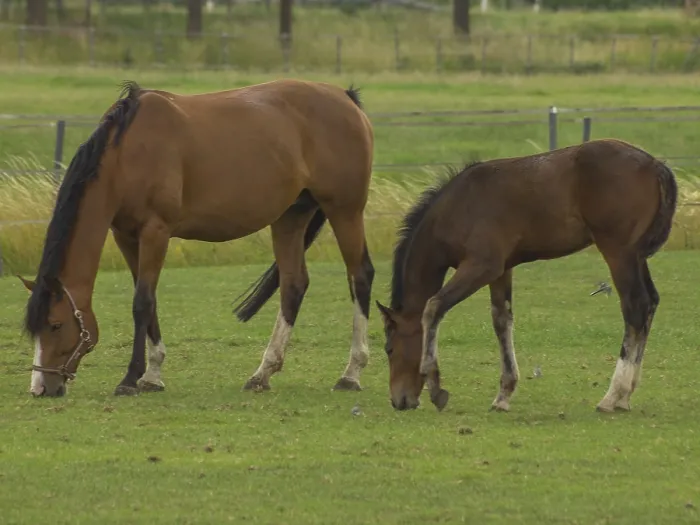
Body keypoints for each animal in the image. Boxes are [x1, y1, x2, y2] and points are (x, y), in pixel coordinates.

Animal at [20, 79, 376, 398]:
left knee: (360, 275)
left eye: (55, 325)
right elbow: (148, 299)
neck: (127, 152)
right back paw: (262, 373)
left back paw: (351, 373)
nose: (41, 388)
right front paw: (153, 376)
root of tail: (346, 98)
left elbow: (142, 301)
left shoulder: (156, 231)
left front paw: (131, 378)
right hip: (291, 217)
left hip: (344, 210)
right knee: (293, 285)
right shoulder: (125, 236)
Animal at [376, 139, 677, 413]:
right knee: (650, 302)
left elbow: (433, 307)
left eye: (389, 349)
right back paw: (625, 397)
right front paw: (503, 395)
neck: (457, 208)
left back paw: (612, 396)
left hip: (618, 252)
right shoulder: (501, 269)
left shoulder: (481, 266)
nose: (399, 401)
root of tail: (655, 164)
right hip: (636, 256)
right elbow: (501, 320)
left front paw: (436, 387)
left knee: (635, 306)